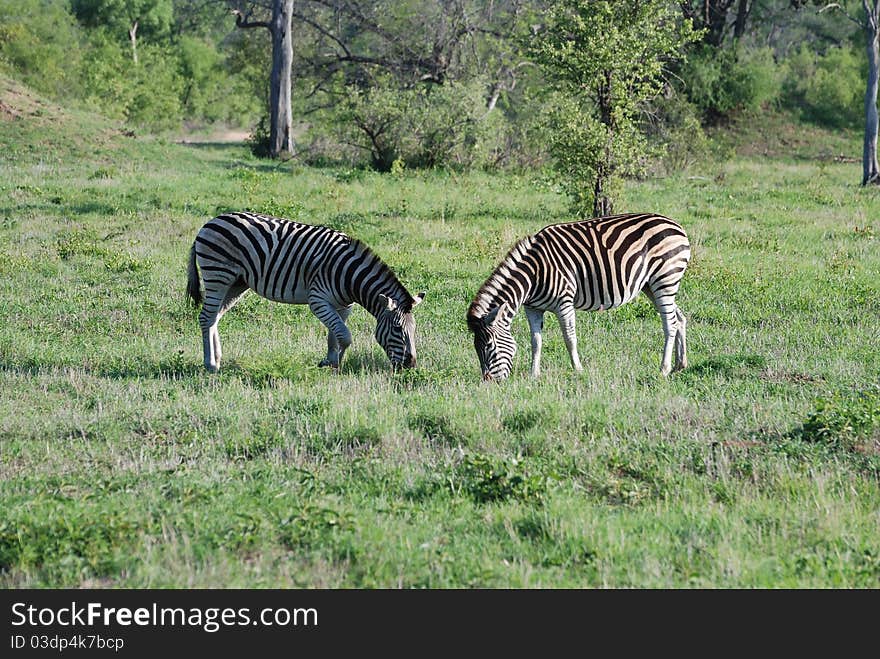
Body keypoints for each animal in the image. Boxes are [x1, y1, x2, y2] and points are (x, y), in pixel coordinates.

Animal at [187, 213, 428, 374]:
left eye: (414, 329)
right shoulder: (318, 300)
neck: (350, 275)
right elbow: (345, 336)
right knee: (206, 317)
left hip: (236, 283)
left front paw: (332, 362)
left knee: (215, 317)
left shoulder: (343, 306)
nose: (410, 365)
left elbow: (335, 335)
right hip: (218, 275)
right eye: (397, 329)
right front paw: (334, 364)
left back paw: (218, 359)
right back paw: (210, 364)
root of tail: (209, 223)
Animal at [470, 214, 692, 382]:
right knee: (679, 318)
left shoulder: (564, 303)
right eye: (476, 348)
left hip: (665, 279)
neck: (533, 275)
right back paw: (680, 365)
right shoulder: (532, 308)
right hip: (651, 286)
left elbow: (570, 339)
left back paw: (664, 369)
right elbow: (536, 341)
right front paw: (534, 374)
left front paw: (578, 370)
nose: (488, 382)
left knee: (670, 324)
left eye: (490, 347)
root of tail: (677, 225)